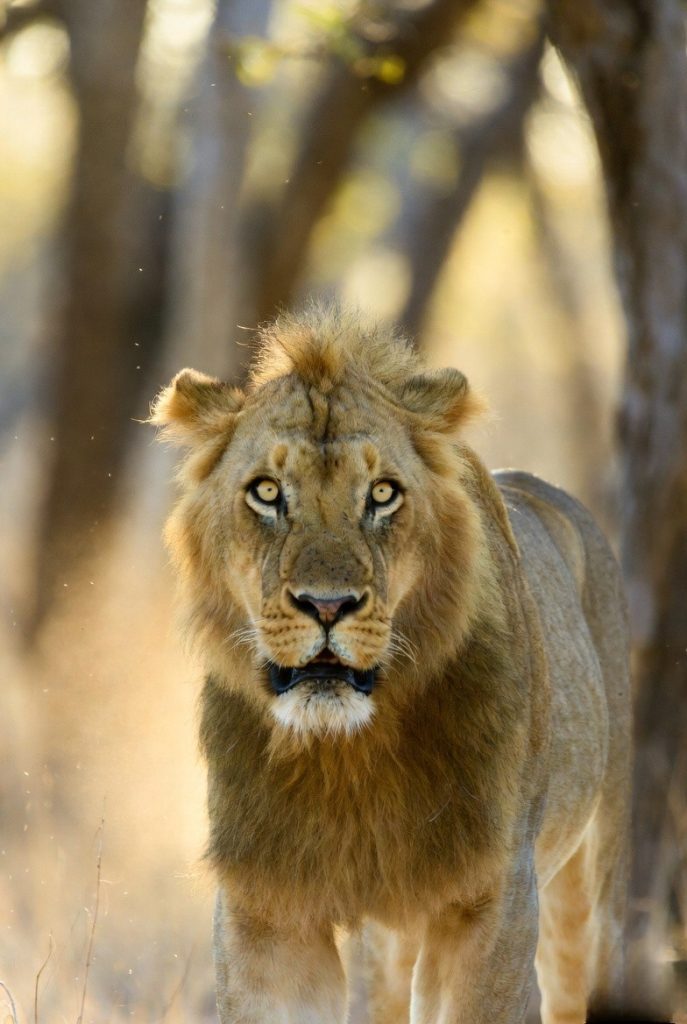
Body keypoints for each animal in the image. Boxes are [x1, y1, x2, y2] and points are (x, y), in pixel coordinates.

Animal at [151, 304, 631, 1024]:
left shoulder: (491, 901)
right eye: (266, 491)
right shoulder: (265, 908)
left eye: (381, 494)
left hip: (586, 881)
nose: (327, 604)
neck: (350, 757)